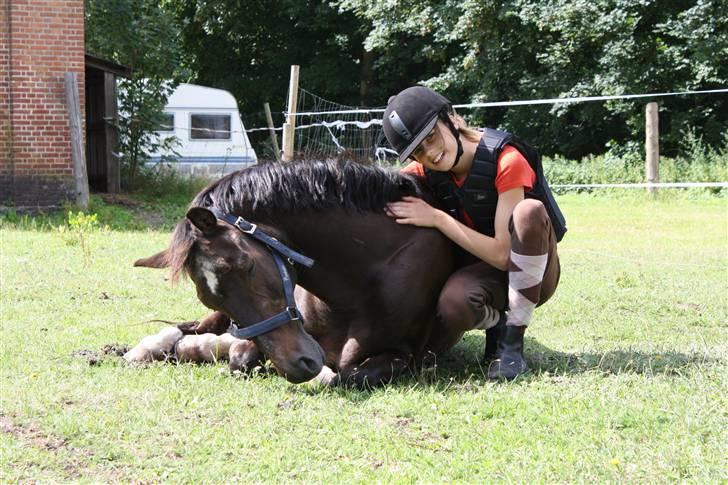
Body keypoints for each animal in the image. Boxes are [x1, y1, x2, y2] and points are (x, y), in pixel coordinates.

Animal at [135, 161, 494, 388]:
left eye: (247, 265)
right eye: (209, 296)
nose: (298, 365)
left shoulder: (402, 354)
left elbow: (348, 376)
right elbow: (240, 357)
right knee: (186, 329)